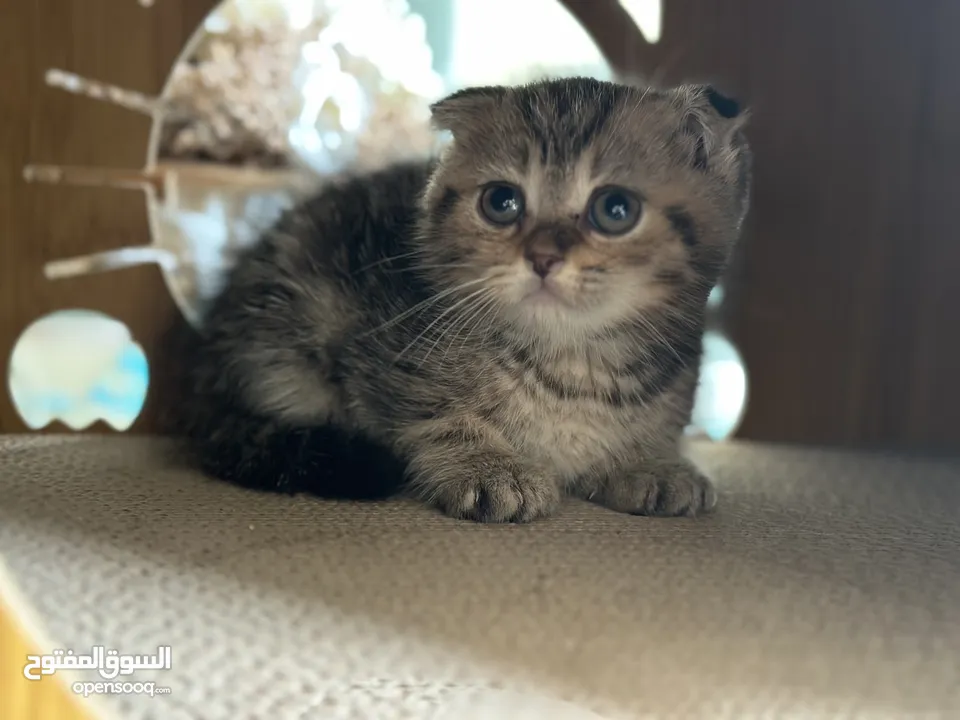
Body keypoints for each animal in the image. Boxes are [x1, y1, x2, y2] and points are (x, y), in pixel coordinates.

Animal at [178, 76, 752, 520]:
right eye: (502, 202)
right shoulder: (380, 349)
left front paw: (649, 461)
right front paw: (490, 467)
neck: (570, 362)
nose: (542, 256)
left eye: (615, 209)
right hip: (281, 330)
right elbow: (434, 414)